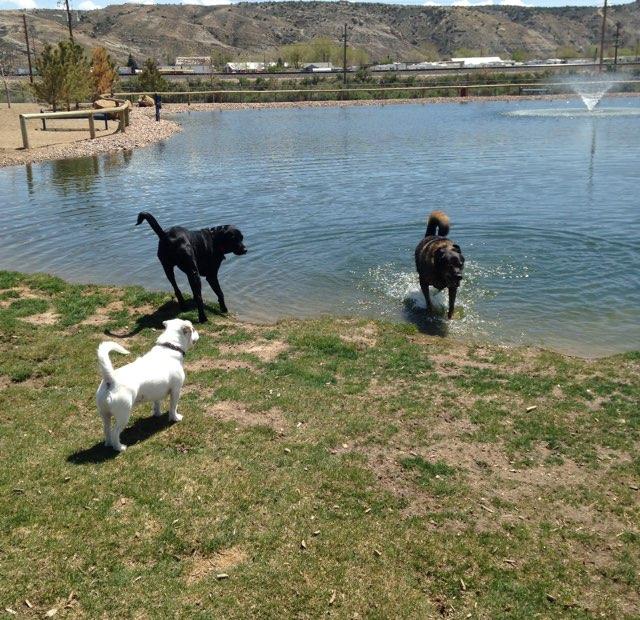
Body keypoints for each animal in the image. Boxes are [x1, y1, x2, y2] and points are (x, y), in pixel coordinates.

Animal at [95, 320, 198, 450]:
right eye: (193, 329)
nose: (198, 333)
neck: (169, 346)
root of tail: (110, 379)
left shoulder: (157, 392)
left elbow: (157, 404)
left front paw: (157, 414)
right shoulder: (176, 390)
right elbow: (173, 407)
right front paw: (175, 418)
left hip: (104, 414)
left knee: (107, 430)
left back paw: (108, 444)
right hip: (123, 415)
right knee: (115, 433)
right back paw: (119, 447)